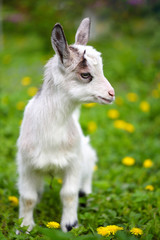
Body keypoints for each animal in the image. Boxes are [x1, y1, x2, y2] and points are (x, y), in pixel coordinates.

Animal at [16, 17, 115, 232]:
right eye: (85, 74)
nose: (111, 94)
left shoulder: (74, 162)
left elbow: (68, 194)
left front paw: (70, 225)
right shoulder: (26, 164)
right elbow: (28, 198)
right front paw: (24, 227)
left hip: (87, 156)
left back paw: (86, 197)